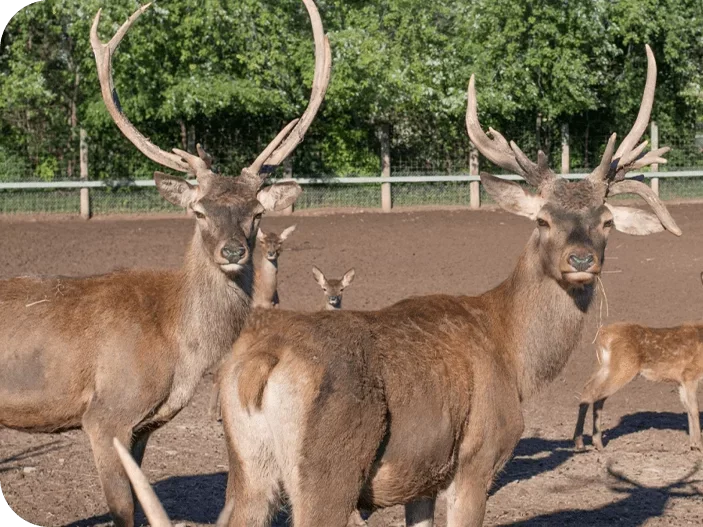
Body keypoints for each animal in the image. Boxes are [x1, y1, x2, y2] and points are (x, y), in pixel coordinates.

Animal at [0, 2, 330, 527]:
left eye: (257, 213)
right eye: (198, 211)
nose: (232, 251)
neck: (181, 348)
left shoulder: (145, 425)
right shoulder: (105, 415)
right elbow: (123, 511)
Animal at [214, 45, 681, 527]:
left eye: (606, 221)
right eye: (542, 219)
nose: (582, 259)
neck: (515, 358)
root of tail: (260, 363)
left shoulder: (422, 478)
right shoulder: (476, 459)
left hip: (248, 467)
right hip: (328, 471)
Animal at [573, 271, 703, 452]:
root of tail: (604, 335)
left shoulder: (681, 380)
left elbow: (688, 408)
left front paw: (693, 444)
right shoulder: (690, 374)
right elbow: (694, 408)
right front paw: (699, 445)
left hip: (604, 366)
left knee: (590, 391)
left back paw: (596, 443)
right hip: (623, 368)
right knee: (592, 394)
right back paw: (582, 442)